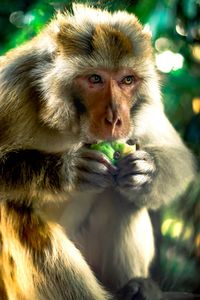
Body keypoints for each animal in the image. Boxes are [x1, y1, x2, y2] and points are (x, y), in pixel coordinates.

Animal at [0, 2, 195, 300]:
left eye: (127, 80)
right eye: (95, 79)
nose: (115, 119)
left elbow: (178, 154)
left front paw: (147, 171)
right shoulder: (12, 84)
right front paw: (66, 172)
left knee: (122, 194)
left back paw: (136, 288)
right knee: (18, 212)